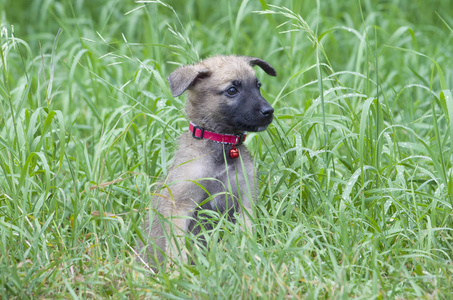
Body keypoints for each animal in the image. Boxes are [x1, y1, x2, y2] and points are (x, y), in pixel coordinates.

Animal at [139, 55, 276, 268]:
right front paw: (178, 272)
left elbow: (247, 237)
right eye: (232, 90)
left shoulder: (245, 200)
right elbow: (178, 251)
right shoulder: (181, 206)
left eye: (258, 86)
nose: (269, 111)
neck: (222, 146)